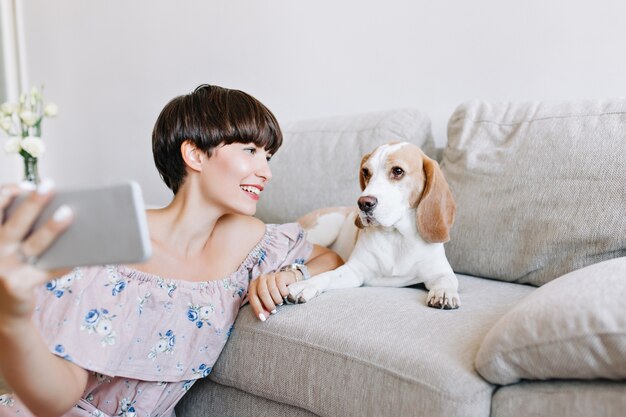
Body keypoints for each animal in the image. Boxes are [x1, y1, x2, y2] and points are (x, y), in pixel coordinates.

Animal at [288, 141, 458, 308]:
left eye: (398, 171)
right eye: (366, 172)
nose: (364, 203)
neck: (397, 236)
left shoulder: (440, 271)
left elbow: (447, 279)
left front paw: (444, 292)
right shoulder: (354, 271)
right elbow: (327, 276)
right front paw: (305, 285)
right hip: (326, 227)